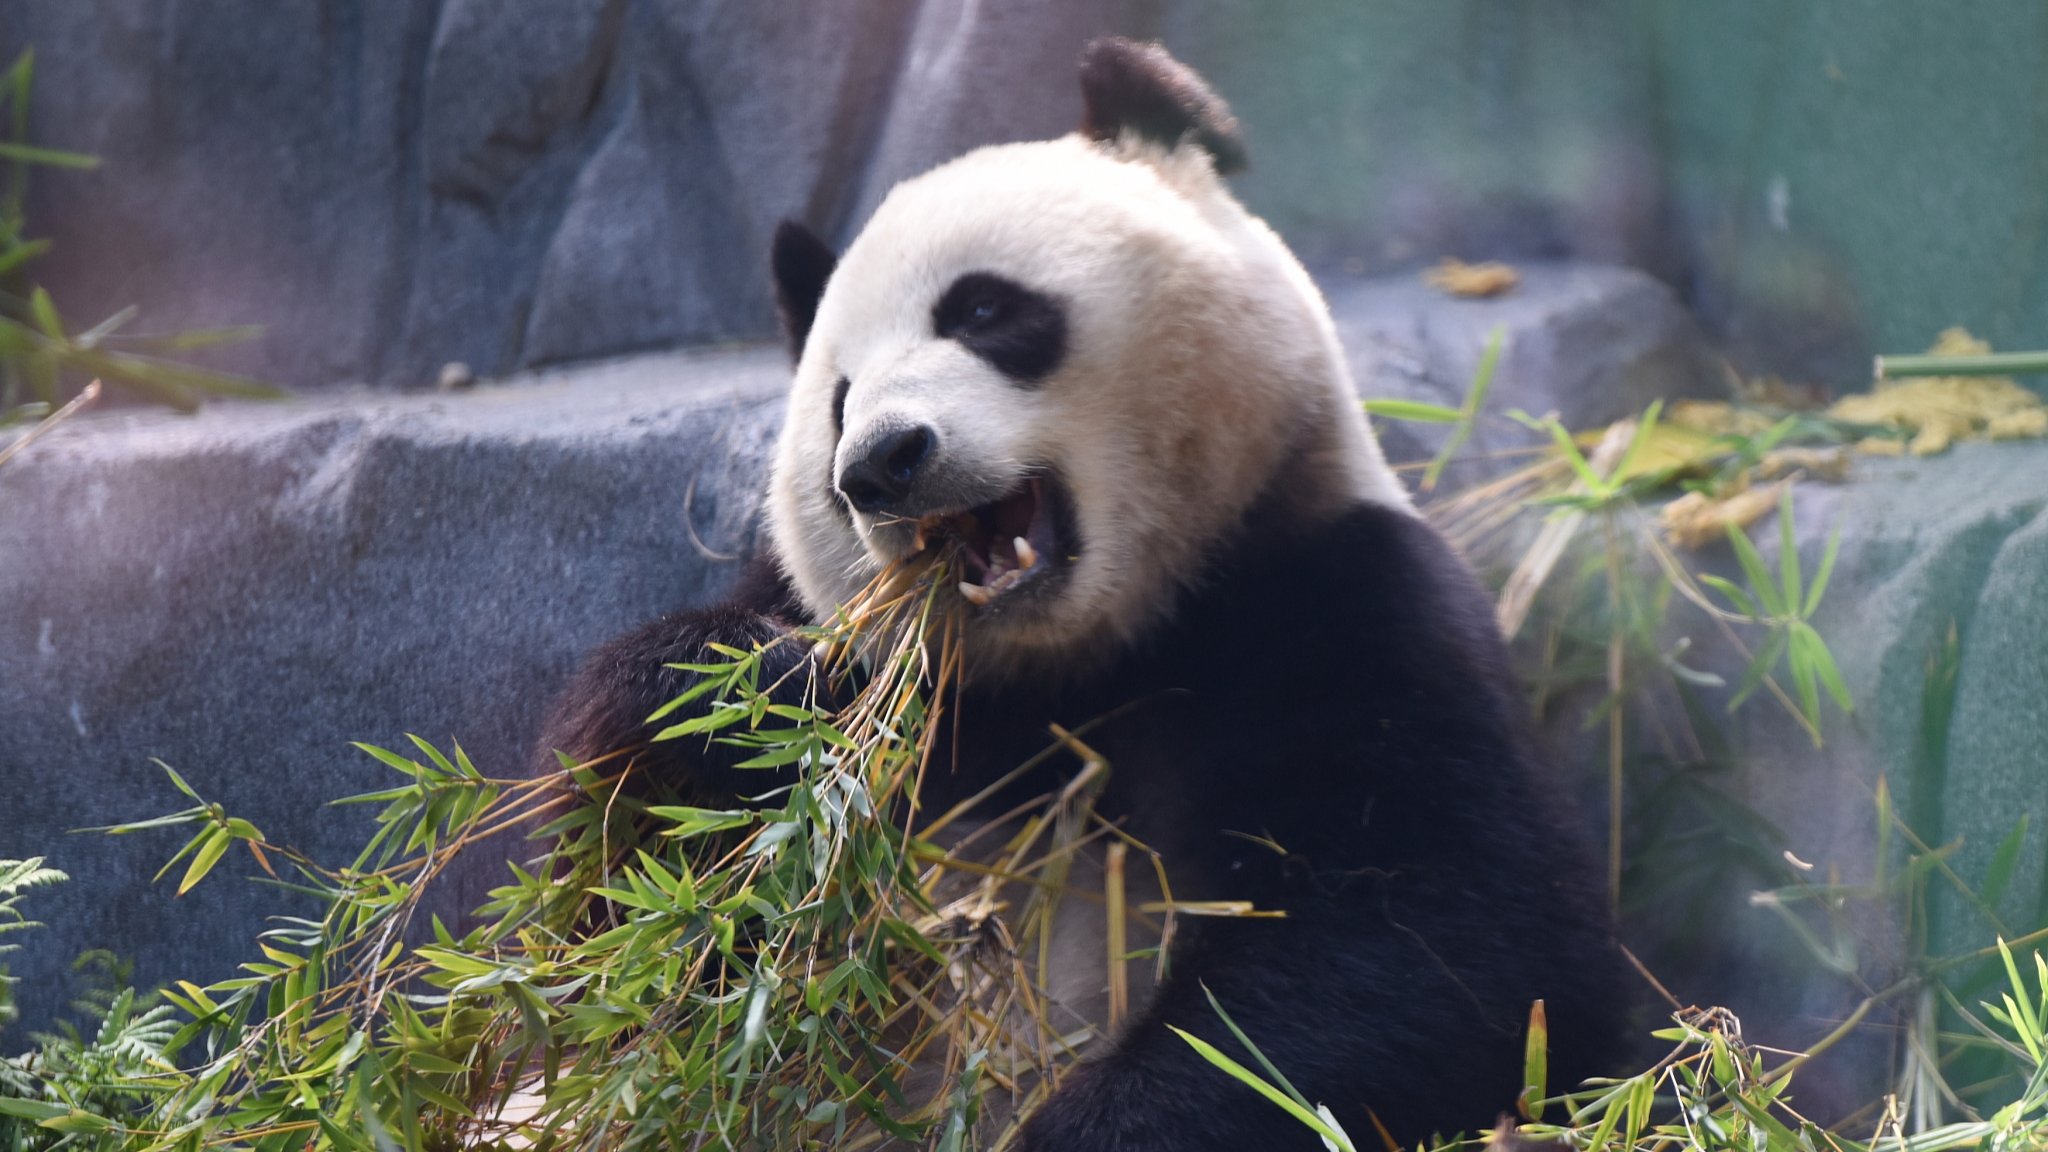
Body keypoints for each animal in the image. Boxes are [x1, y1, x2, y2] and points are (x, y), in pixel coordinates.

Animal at [536, 38, 1622, 1147]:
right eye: (837, 398)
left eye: (980, 310)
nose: (879, 462)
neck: (1071, 664)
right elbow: (614, 942)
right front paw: (744, 694)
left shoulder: (1337, 600)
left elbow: (1449, 944)